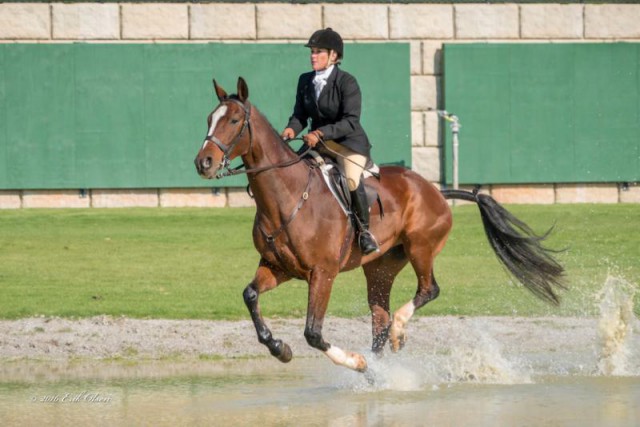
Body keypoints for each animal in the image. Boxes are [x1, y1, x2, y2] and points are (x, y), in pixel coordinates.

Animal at [192, 77, 564, 374]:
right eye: (209, 119)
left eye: (234, 120)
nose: (204, 162)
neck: (288, 197)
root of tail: (435, 190)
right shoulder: (277, 266)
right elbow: (251, 295)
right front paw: (279, 349)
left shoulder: (322, 274)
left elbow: (313, 332)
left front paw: (354, 362)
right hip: (381, 267)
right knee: (379, 318)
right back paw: (381, 367)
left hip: (421, 248)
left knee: (427, 291)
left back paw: (394, 337)